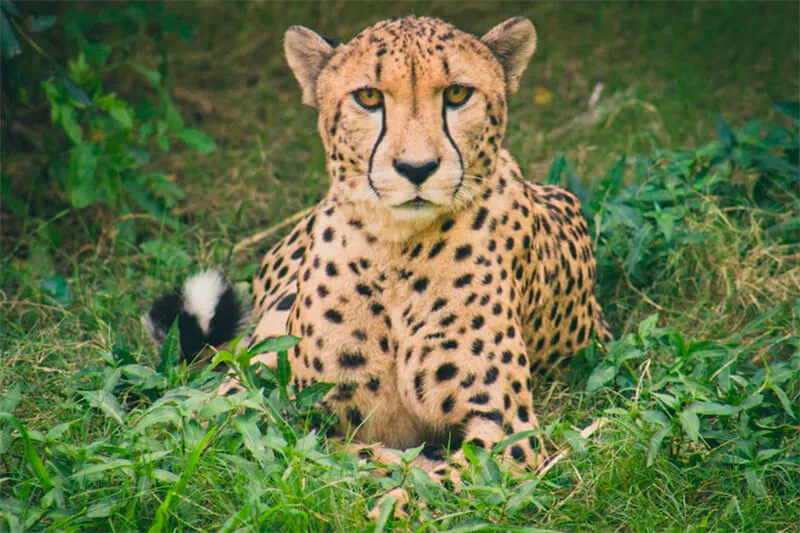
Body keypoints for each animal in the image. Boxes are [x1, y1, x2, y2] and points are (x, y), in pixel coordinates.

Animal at [145, 14, 612, 503]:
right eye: (368, 97)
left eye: (457, 94)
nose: (416, 168)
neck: (396, 250)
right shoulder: (291, 405)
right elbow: (311, 444)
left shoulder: (507, 433)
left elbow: (434, 483)